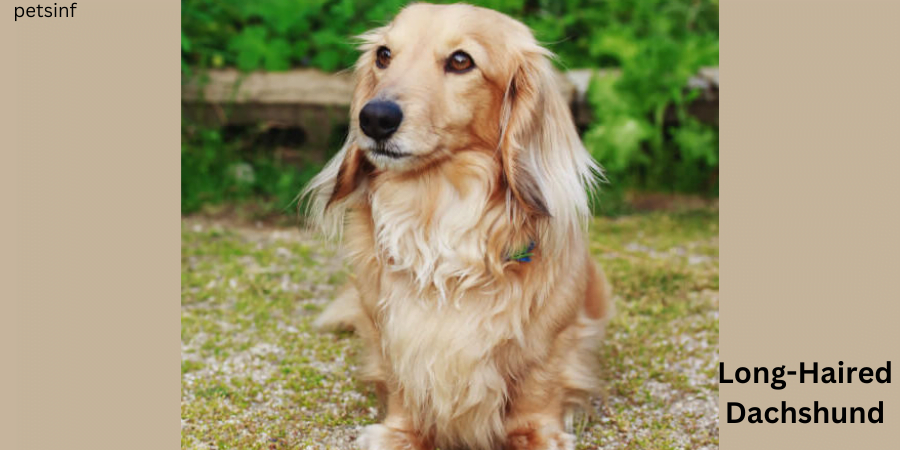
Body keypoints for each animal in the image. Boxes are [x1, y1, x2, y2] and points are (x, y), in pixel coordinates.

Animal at [302, 3, 612, 450]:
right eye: (383, 55)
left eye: (461, 60)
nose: (374, 118)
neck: (435, 210)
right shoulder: (393, 331)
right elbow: (401, 382)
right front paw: (401, 433)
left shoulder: (554, 336)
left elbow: (537, 388)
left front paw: (536, 434)